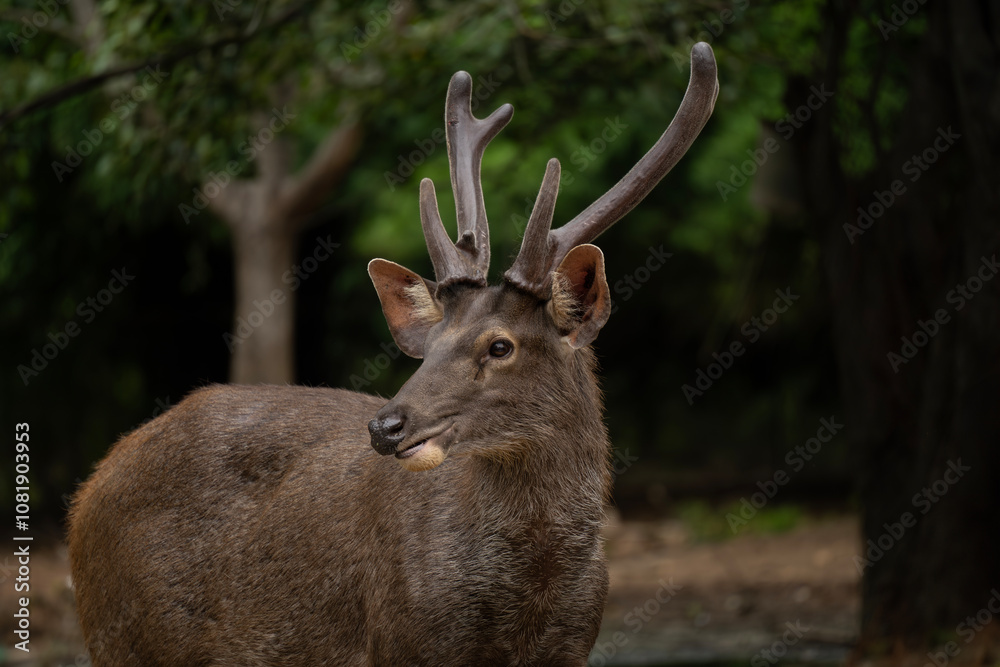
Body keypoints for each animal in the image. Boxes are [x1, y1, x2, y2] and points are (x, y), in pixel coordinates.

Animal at [67, 43, 717, 666]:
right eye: (427, 349)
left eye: (499, 345)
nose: (385, 426)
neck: (531, 594)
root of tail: (87, 493)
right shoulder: (405, 639)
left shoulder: (573, 644)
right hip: (121, 638)